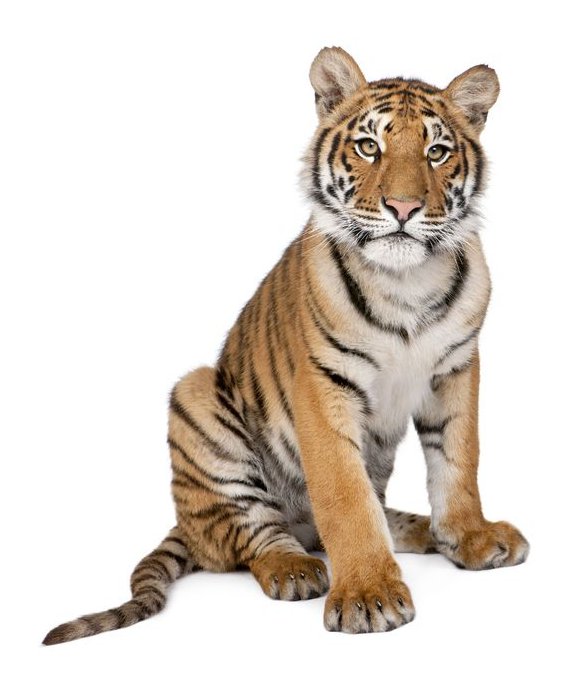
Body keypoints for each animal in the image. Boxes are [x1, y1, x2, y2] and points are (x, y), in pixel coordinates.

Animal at [43, 46, 529, 643]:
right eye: (370, 146)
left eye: (436, 152)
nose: (403, 207)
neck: (406, 282)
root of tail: (184, 524)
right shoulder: (323, 385)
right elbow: (344, 497)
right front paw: (368, 594)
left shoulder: (456, 370)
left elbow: (459, 464)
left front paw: (470, 537)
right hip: (197, 399)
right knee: (250, 537)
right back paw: (295, 568)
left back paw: (417, 530)